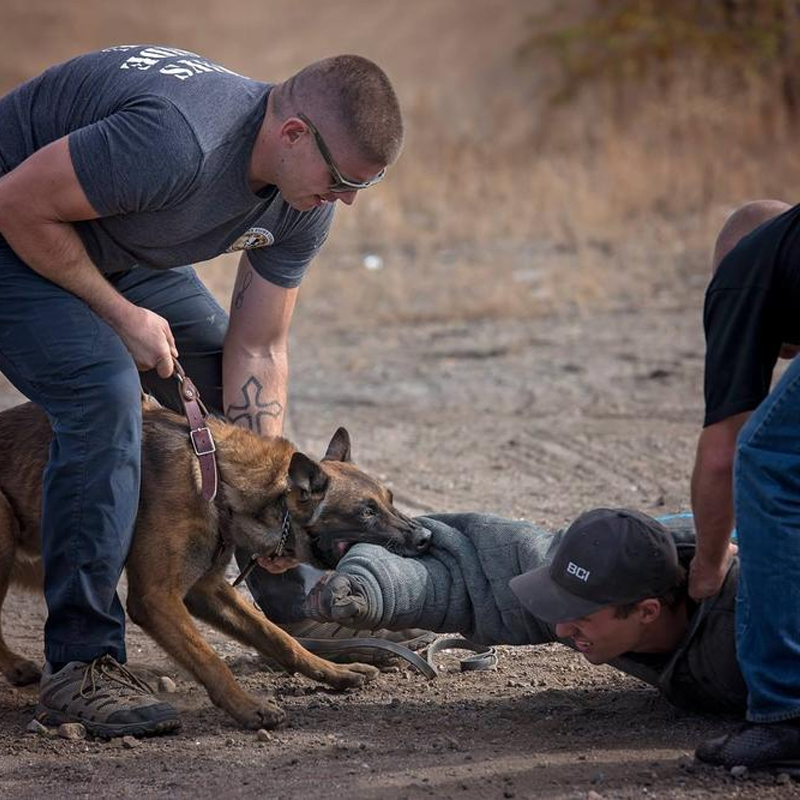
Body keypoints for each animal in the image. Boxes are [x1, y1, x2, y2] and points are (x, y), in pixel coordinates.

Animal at [0, 404, 432, 728]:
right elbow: (209, 658)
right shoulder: (156, 599)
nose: (425, 536)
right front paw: (248, 707)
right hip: (4, 527)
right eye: (366, 512)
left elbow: (278, 636)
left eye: (391, 499)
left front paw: (333, 671)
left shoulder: (206, 590)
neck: (217, 479)